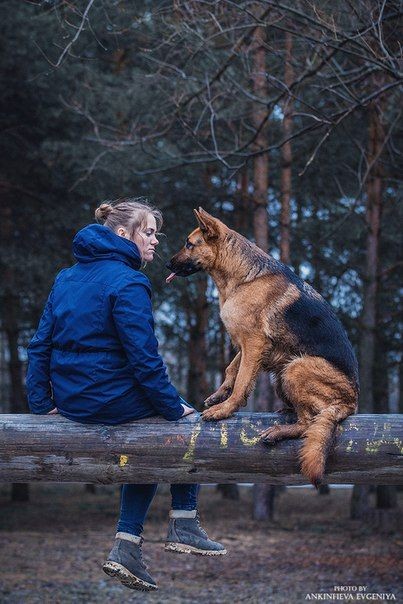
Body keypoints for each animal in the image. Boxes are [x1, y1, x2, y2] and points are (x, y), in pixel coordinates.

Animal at [167, 208, 360, 486]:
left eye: (189, 244)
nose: (167, 265)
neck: (242, 278)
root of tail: (351, 403)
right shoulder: (247, 344)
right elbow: (232, 369)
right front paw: (219, 394)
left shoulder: (254, 342)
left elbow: (242, 381)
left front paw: (225, 409)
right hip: (281, 376)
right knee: (306, 417)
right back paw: (286, 410)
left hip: (295, 368)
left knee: (308, 423)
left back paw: (279, 431)